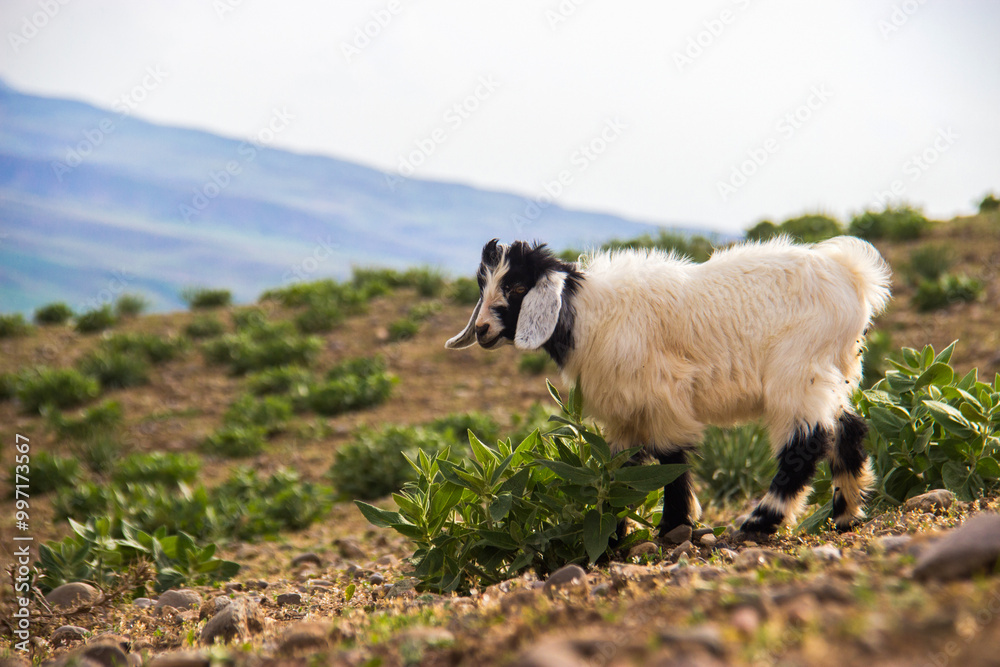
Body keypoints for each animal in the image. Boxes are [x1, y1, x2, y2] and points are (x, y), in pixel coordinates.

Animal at [445, 236, 891, 536]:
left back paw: (761, 520)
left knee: (806, 442)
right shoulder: (625, 414)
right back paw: (846, 512)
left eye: (517, 288)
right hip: (836, 369)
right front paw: (613, 533)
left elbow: (670, 458)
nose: (482, 330)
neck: (587, 312)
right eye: (483, 286)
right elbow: (620, 471)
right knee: (849, 428)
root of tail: (853, 276)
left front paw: (675, 524)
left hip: (796, 369)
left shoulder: (662, 396)